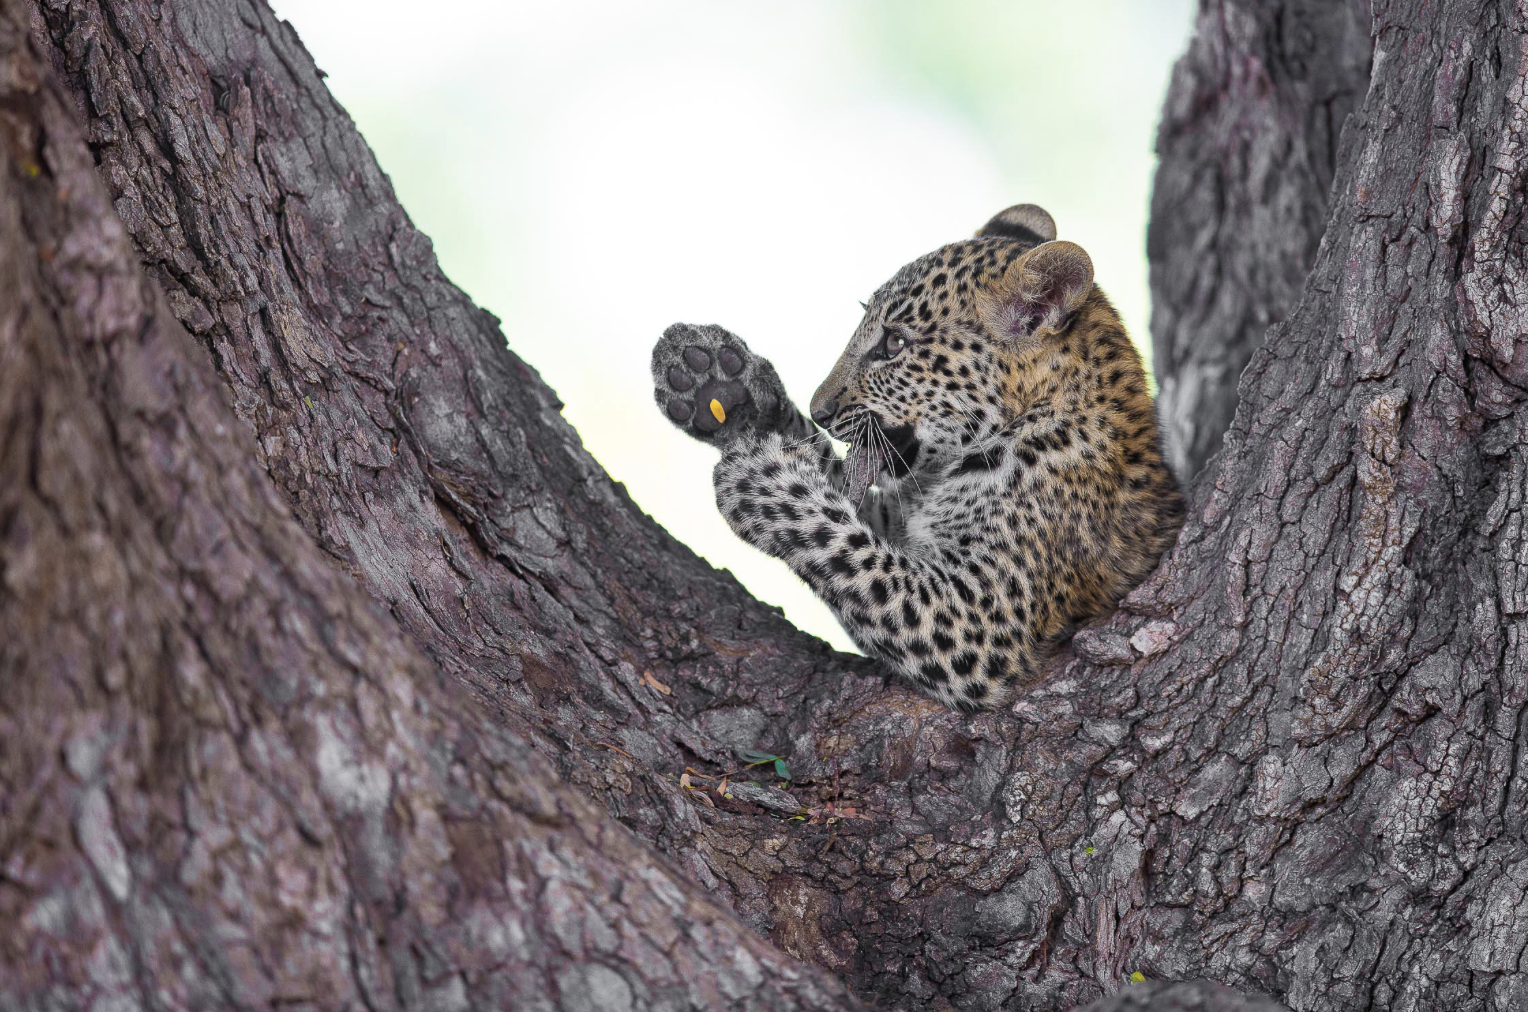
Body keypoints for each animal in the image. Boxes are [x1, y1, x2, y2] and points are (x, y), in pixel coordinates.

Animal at [651, 204, 1185, 711]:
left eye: (894, 344)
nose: (820, 410)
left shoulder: (978, 624)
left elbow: (847, 548)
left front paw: (760, 480)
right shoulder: (898, 515)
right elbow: (839, 494)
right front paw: (719, 384)